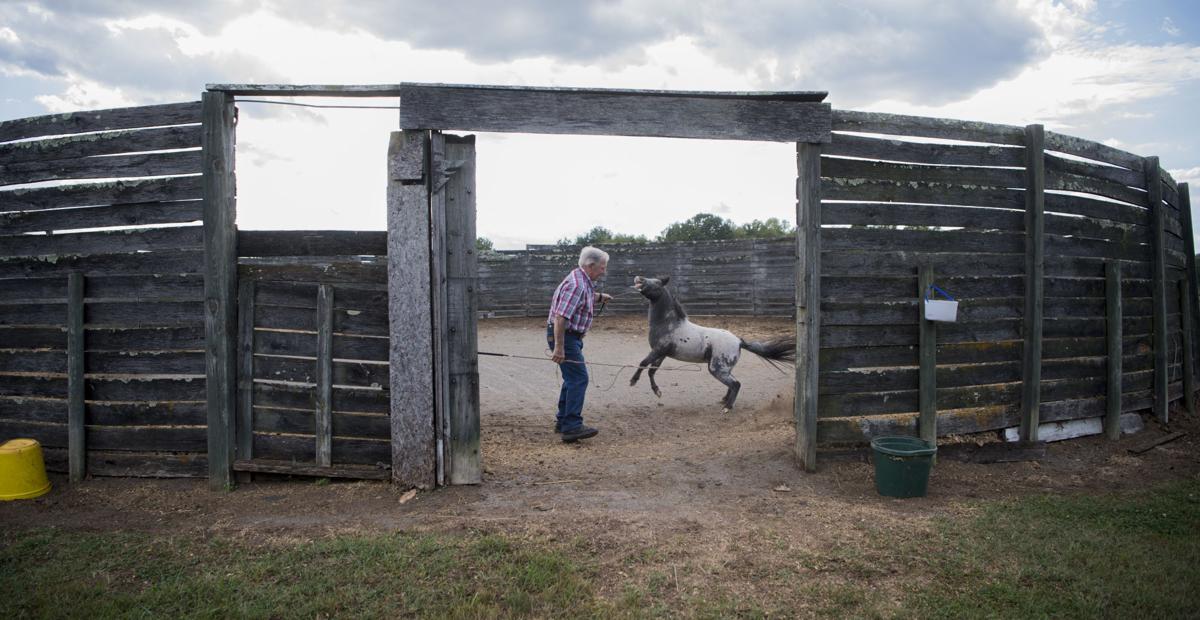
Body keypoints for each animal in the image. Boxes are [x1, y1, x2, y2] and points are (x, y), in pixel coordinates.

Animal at [628, 274, 796, 410]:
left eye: (657, 283)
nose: (639, 278)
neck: (668, 324)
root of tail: (739, 341)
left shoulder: (657, 350)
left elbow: (643, 363)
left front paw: (633, 381)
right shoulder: (662, 353)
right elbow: (651, 370)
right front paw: (657, 392)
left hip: (717, 369)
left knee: (736, 384)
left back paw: (727, 408)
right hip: (723, 368)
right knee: (733, 383)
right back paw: (724, 401)